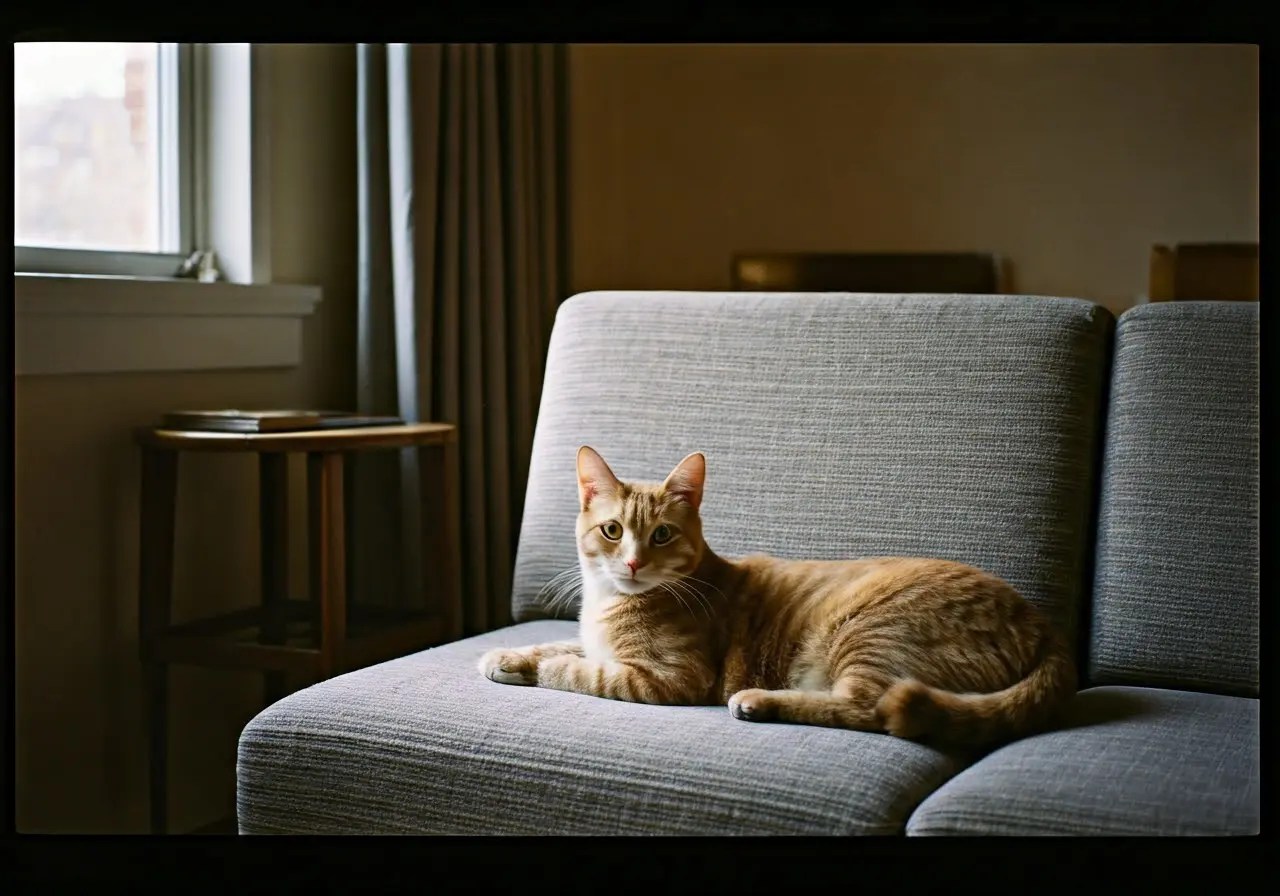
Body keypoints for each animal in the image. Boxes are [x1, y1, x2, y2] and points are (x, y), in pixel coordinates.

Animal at [481, 445, 1080, 747]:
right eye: (612, 531)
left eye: (662, 536)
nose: (631, 562)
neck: (610, 603)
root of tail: (1043, 625)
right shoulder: (597, 643)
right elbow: (562, 646)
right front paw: (507, 656)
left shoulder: (667, 677)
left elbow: (579, 671)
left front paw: (539, 669)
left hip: (872, 633)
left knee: (871, 708)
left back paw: (760, 701)